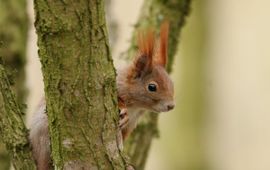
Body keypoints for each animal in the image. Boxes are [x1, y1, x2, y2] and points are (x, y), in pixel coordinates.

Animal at [29, 21, 175, 170]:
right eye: (152, 87)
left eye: (171, 82)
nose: (171, 106)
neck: (136, 106)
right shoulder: (116, 87)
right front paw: (123, 112)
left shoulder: (132, 123)